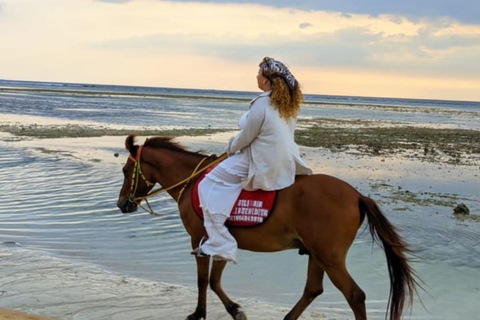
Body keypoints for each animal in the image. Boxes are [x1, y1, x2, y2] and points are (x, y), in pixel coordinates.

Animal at [117, 134, 420, 320]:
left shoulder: (200, 238)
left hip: (330, 258)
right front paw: (234, 310)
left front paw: (200, 313)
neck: (193, 182)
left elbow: (204, 280)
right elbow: (214, 281)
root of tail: (356, 195)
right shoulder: (221, 241)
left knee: (355, 295)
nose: (122, 204)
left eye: (124, 171)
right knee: (313, 290)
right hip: (318, 255)